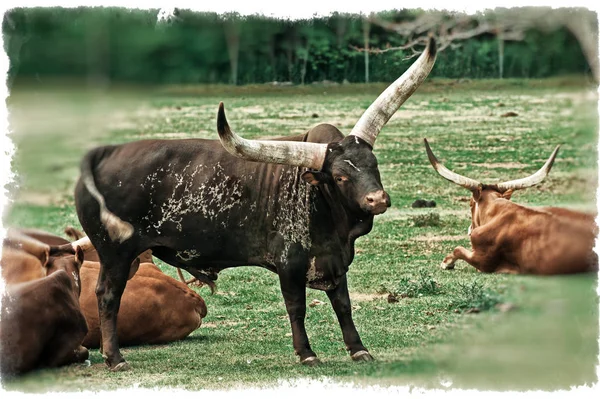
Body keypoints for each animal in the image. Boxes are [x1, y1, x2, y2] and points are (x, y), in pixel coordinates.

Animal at [75, 38, 436, 372]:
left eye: (373, 164)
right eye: (340, 176)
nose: (378, 199)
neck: (321, 203)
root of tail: (103, 153)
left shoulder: (334, 260)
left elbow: (343, 305)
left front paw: (359, 350)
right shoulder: (290, 264)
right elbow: (297, 307)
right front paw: (307, 354)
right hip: (115, 253)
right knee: (108, 296)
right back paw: (115, 358)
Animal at [424, 140, 596, 276]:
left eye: (470, 204)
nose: (469, 229)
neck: (497, 212)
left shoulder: (482, 262)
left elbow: (458, 249)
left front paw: (447, 263)